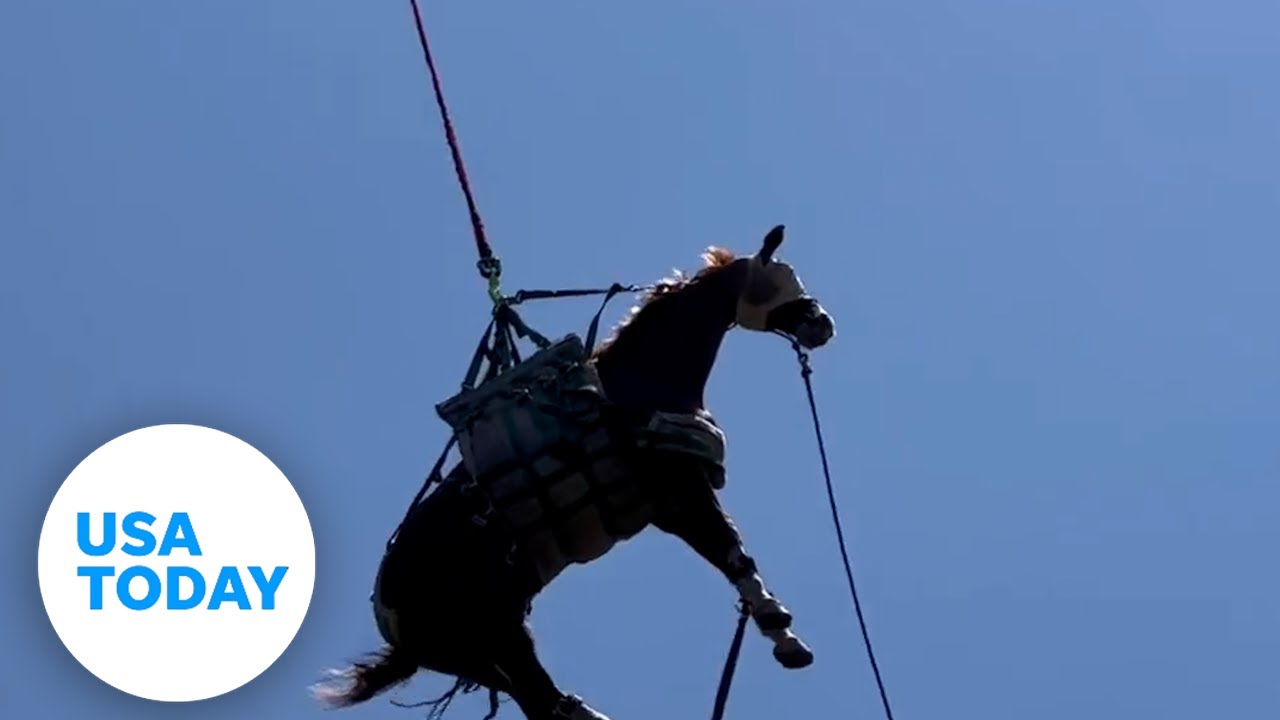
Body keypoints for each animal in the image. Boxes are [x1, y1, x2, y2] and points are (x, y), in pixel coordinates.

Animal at [312, 225, 836, 720]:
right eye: (780, 277)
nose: (822, 324)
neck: (637, 387)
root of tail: (390, 616)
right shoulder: (681, 495)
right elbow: (735, 558)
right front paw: (784, 635)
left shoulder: (670, 507)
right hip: (494, 642)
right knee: (544, 703)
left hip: (489, 650)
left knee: (543, 702)